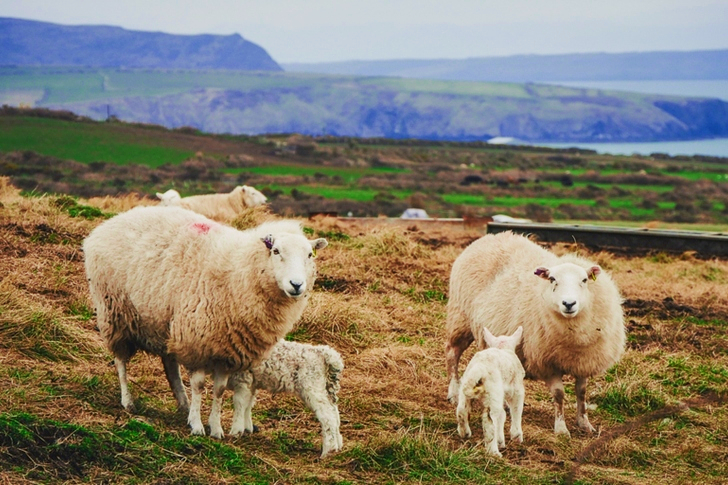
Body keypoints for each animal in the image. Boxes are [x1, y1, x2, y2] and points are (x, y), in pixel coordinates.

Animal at [83, 205, 327, 438]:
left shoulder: (226, 352)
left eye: (310, 255)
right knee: (120, 360)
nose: (296, 285)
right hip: (115, 313)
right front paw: (197, 426)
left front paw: (216, 428)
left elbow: (219, 390)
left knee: (170, 365)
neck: (239, 272)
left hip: (166, 323)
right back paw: (128, 401)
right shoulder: (197, 341)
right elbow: (199, 385)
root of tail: (109, 224)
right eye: (276, 251)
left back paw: (183, 403)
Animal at [445, 231, 625, 437]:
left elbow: (582, 392)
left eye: (584, 280)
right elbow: (559, 395)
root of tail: (490, 237)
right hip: (460, 317)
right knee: (452, 353)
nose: (569, 304)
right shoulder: (547, 362)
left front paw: (584, 423)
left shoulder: (584, 361)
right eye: (552, 279)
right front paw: (561, 428)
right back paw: (453, 392)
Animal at [456, 327, 525, 457]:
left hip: (467, 385)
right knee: (489, 420)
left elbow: (502, 415)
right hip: (493, 391)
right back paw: (494, 452)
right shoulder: (517, 390)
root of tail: (479, 368)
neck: (503, 348)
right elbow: (516, 410)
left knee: (461, 410)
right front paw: (516, 436)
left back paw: (465, 433)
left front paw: (500, 440)